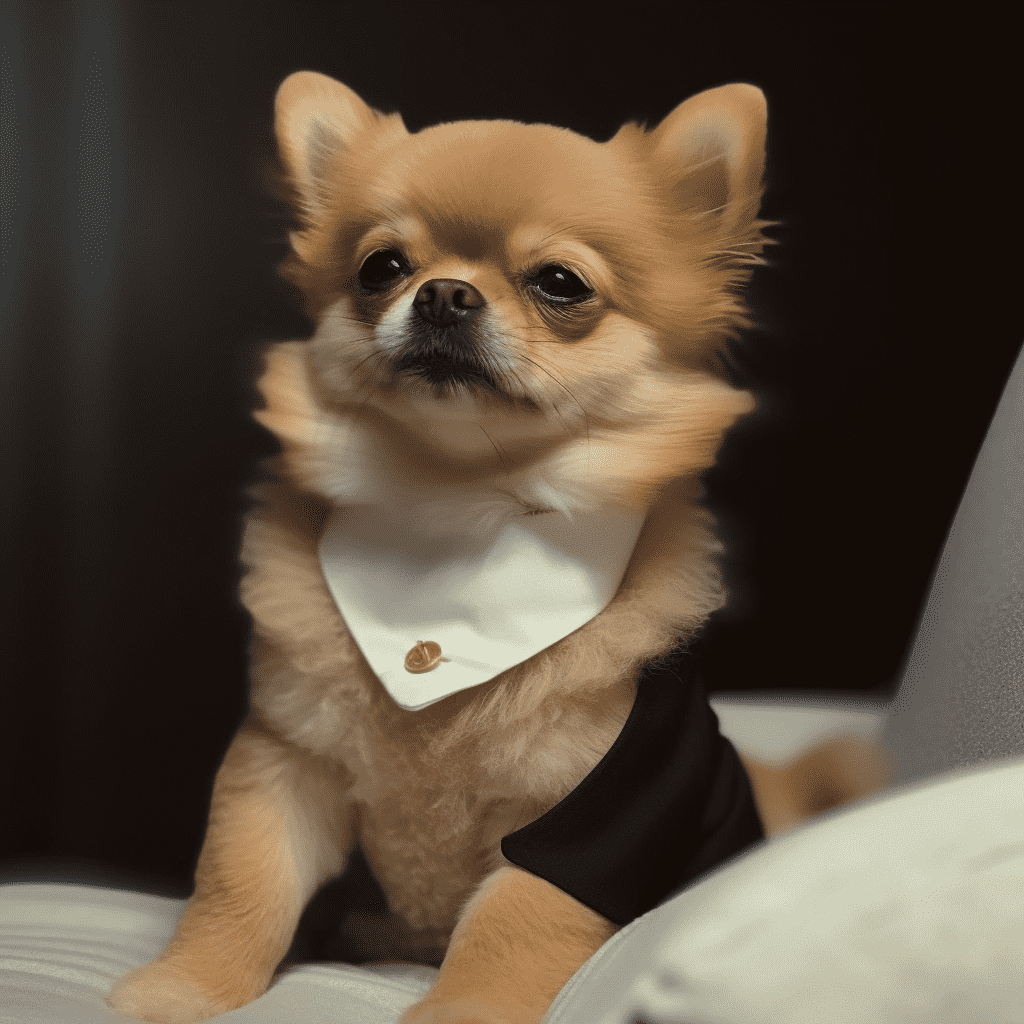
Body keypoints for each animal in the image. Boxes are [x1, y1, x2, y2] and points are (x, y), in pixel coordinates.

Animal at [108, 71, 782, 1024]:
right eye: (382, 267)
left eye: (561, 283)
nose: (444, 293)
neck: (453, 509)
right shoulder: (285, 765)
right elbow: (240, 882)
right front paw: (185, 986)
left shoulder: (591, 818)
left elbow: (510, 933)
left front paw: (461, 1010)